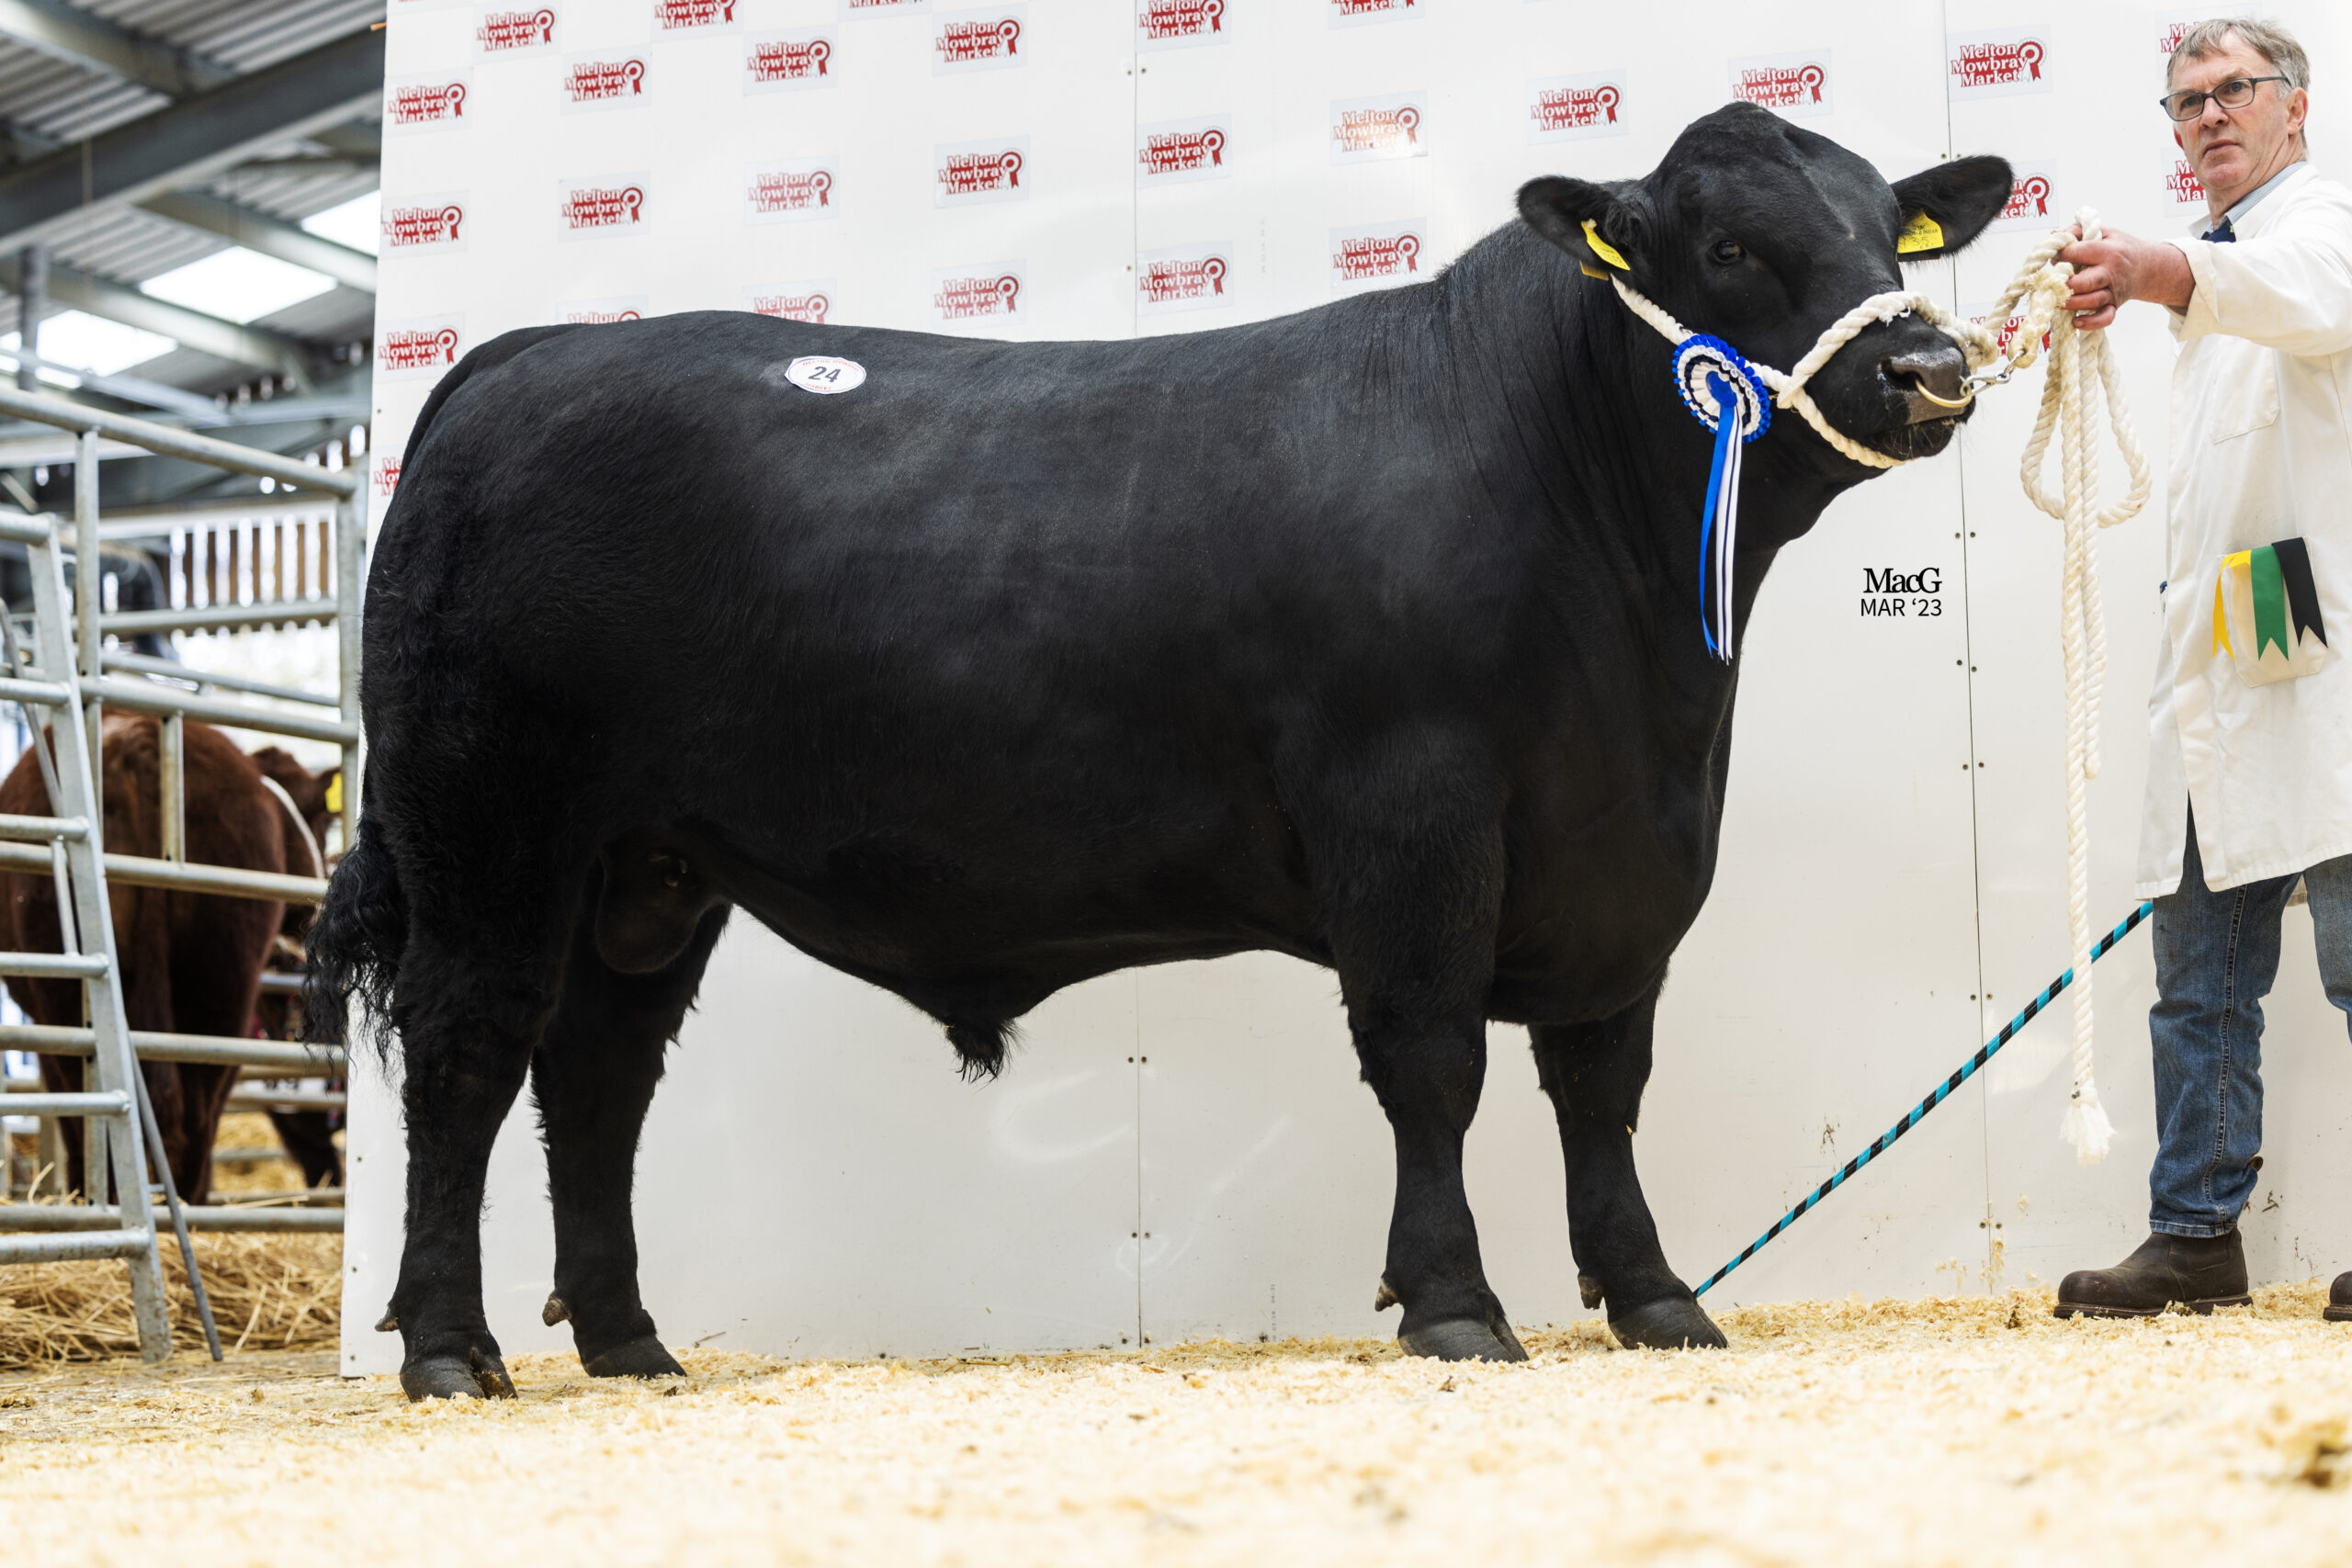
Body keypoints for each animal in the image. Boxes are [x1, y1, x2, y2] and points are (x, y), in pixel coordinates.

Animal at [307, 104, 2014, 1400]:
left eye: (1891, 232)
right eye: (1728, 246)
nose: (1932, 367)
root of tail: (518, 359)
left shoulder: (1622, 852)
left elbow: (1602, 1079)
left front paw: (1655, 1294)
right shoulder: (1411, 811)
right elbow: (1434, 1059)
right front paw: (1456, 1302)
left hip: (648, 864)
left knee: (598, 1075)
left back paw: (630, 1343)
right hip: (488, 816)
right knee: (467, 1052)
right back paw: (451, 1349)